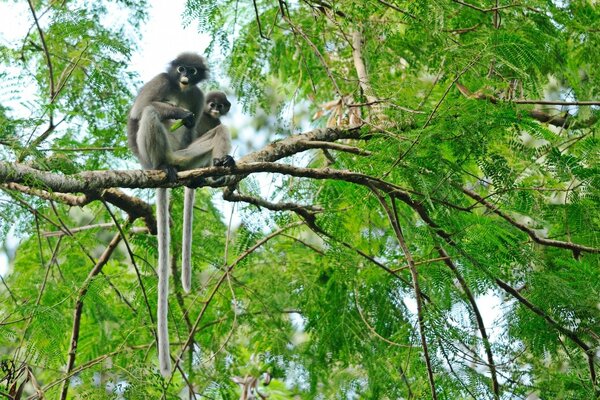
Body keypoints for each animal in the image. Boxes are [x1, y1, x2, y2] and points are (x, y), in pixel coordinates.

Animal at [127, 53, 233, 378]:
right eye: (181, 69)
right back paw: (164, 165)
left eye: (194, 72)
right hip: (159, 152)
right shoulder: (163, 81)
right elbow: (139, 111)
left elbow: (199, 121)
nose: (186, 76)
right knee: (149, 113)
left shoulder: (197, 96)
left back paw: (220, 165)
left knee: (218, 132)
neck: (182, 89)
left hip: (187, 154)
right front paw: (177, 111)